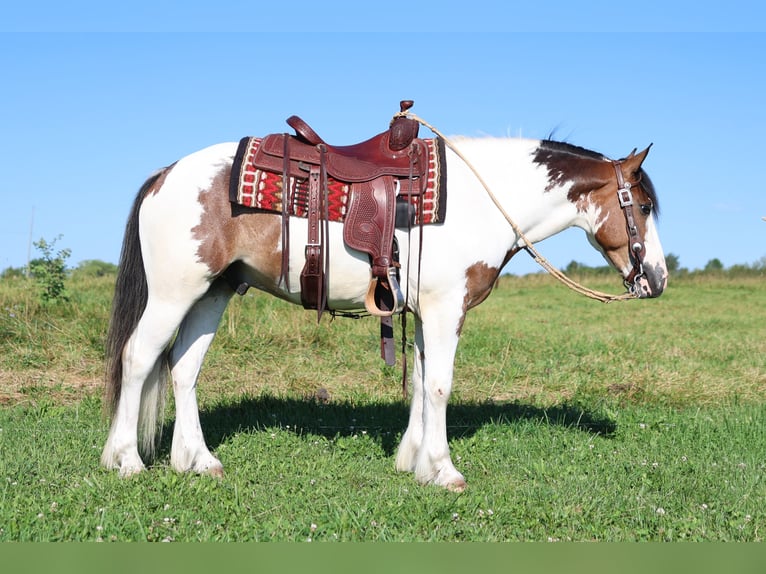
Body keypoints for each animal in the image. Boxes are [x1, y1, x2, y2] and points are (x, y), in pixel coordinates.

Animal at [100, 128, 667, 492]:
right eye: (641, 206)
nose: (657, 279)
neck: (478, 200)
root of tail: (164, 175)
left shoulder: (423, 311)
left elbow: (419, 383)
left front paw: (413, 463)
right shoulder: (445, 309)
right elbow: (439, 386)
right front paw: (444, 470)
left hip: (212, 293)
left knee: (183, 370)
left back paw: (197, 462)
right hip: (174, 294)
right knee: (138, 358)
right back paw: (125, 461)